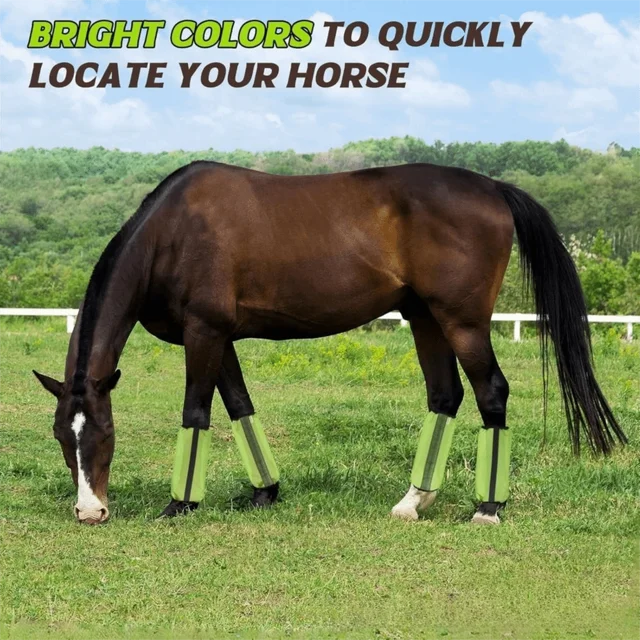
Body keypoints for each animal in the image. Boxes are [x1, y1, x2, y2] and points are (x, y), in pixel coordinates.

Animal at [33, 161, 627, 525]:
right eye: (63, 436)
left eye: (107, 433)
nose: (90, 511)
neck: (174, 232)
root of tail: (494, 188)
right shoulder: (217, 337)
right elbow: (240, 406)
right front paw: (264, 493)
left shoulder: (203, 333)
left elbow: (196, 413)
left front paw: (180, 504)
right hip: (424, 318)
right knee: (445, 396)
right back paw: (413, 502)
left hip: (463, 321)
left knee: (491, 394)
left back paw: (487, 507)